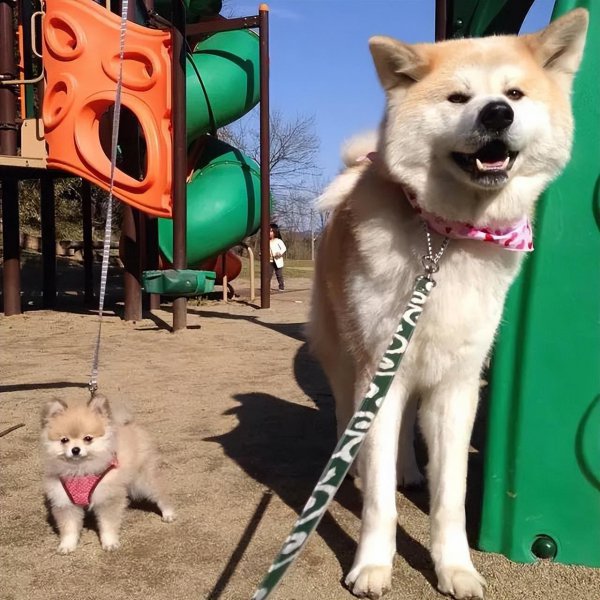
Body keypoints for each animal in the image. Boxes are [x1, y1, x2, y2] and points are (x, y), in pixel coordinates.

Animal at [40, 394, 173, 552]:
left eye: (88, 438)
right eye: (64, 440)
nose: (75, 449)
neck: (80, 471)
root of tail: (128, 423)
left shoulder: (108, 499)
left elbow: (108, 525)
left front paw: (110, 543)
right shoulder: (64, 502)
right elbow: (69, 528)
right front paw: (67, 546)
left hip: (143, 479)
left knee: (160, 493)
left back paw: (168, 513)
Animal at [308, 9, 588, 600]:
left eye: (514, 93)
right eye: (459, 98)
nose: (498, 112)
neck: (449, 237)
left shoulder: (457, 385)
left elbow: (451, 498)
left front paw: (455, 568)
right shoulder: (378, 373)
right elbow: (379, 504)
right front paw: (373, 565)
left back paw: (410, 470)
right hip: (347, 360)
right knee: (349, 420)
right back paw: (354, 470)